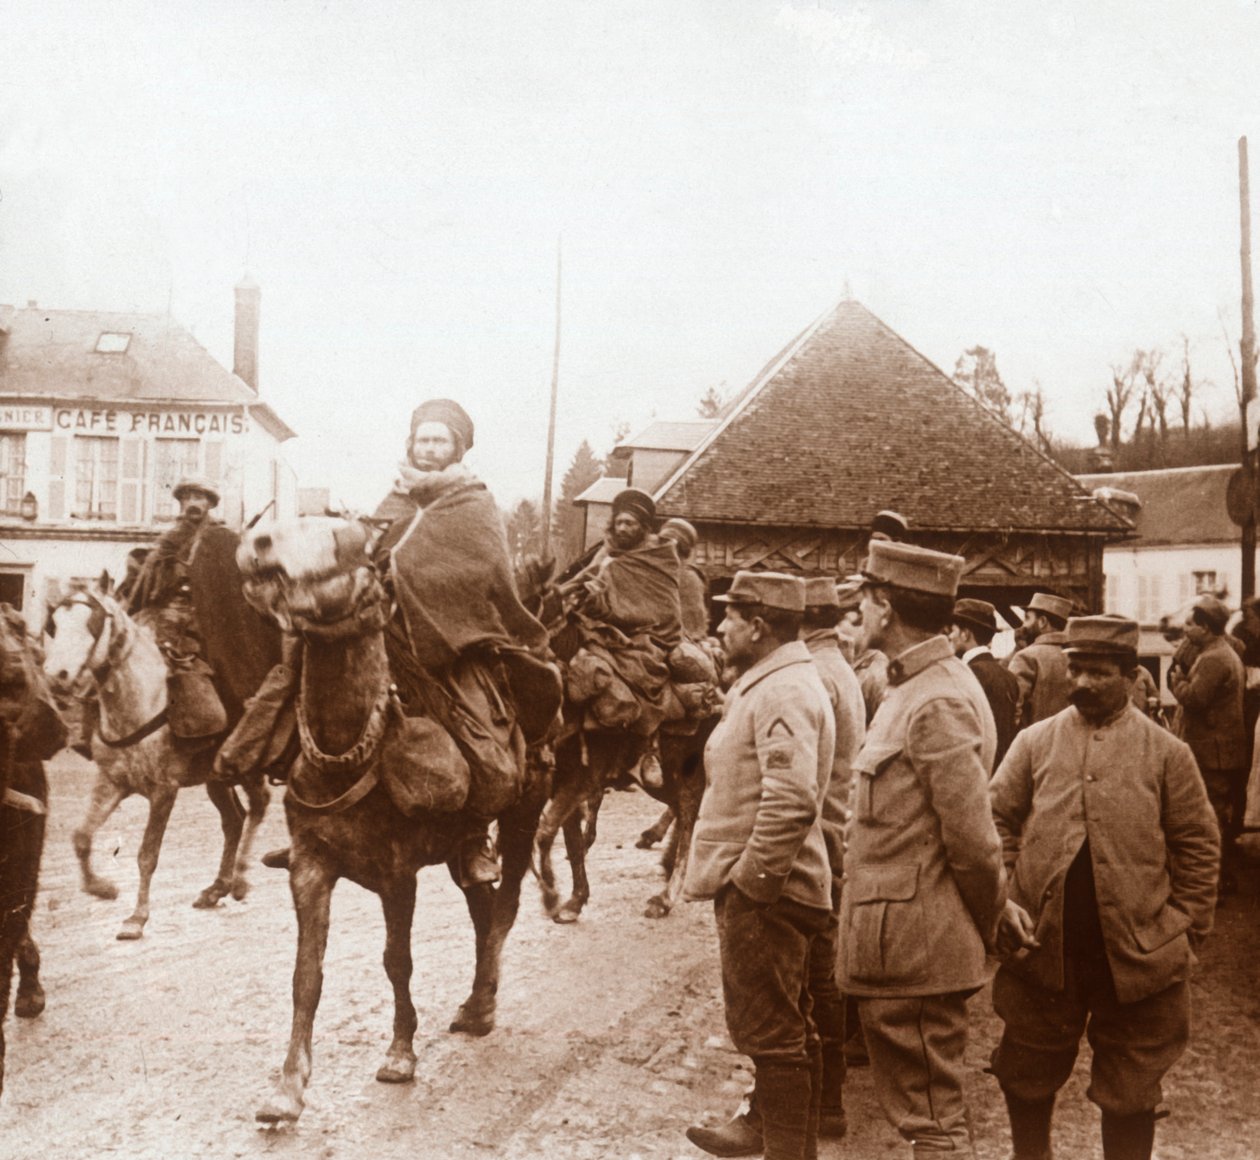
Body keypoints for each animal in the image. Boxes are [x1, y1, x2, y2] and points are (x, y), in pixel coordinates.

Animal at [43, 589, 268, 942]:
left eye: (92, 623)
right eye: (53, 624)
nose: (56, 675)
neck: (142, 702)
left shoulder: (164, 791)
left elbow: (147, 856)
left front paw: (137, 918)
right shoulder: (111, 782)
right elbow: (81, 837)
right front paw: (101, 888)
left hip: (247, 768)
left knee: (259, 807)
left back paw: (241, 880)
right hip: (216, 778)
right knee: (234, 820)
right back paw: (217, 888)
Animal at [240, 518, 546, 1123]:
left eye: (342, 540)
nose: (257, 544)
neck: (347, 759)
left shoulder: (397, 876)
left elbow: (396, 961)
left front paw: (400, 1053)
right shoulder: (309, 868)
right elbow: (306, 976)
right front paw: (288, 1088)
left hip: (523, 820)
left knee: (504, 910)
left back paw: (483, 1001)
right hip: (460, 852)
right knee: (482, 908)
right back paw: (476, 1003)